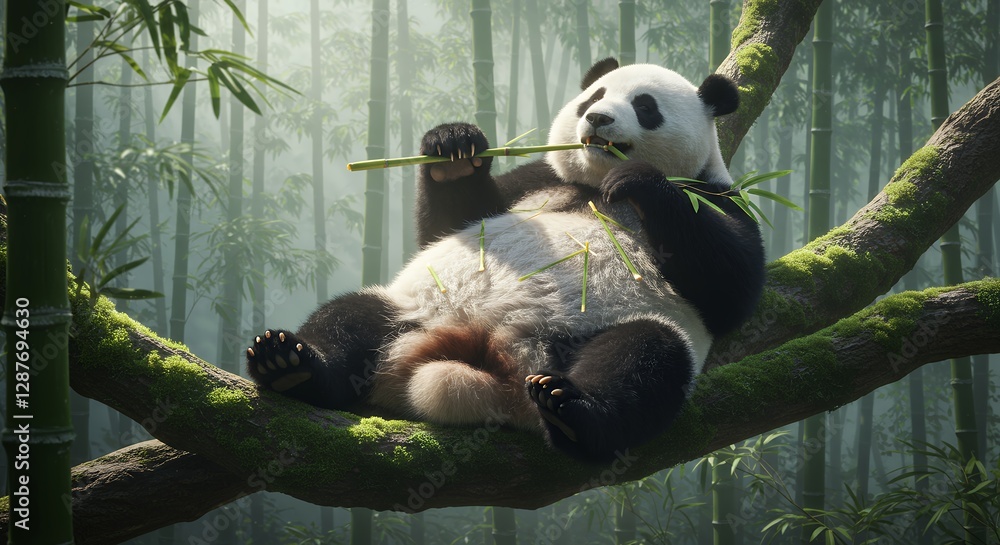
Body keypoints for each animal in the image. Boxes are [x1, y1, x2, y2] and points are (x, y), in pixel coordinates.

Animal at [246, 58, 765, 461]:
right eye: (593, 96)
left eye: (645, 106)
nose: (598, 118)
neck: (595, 184)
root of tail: (493, 359)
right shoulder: (538, 179)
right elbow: (451, 226)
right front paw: (453, 146)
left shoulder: (715, 195)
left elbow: (732, 286)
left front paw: (639, 178)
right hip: (417, 309)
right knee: (350, 318)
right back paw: (289, 363)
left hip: (594, 331)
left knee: (646, 358)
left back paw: (573, 411)